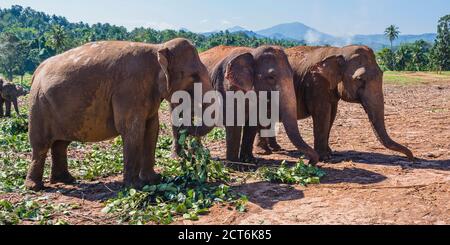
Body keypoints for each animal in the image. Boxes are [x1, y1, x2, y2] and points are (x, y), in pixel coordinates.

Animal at [25, 38, 211, 191]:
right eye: (194, 76)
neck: (157, 48)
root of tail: (36, 71)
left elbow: (152, 129)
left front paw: (155, 180)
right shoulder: (129, 88)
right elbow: (132, 130)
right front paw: (135, 186)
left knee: (60, 144)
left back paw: (66, 180)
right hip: (38, 105)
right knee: (41, 145)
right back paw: (35, 187)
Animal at [171, 45, 318, 165]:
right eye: (271, 77)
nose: (309, 162)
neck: (252, 52)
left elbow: (253, 122)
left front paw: (249, 161)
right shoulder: (226, 86)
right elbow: (234, 121)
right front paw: (235, 164)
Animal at [256, 45, 414, 163]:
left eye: (382, 74)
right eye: (360, 79)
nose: (411, 157)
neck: (338, 51)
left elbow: (332, 115)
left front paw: (329, 153)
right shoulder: (316, 83)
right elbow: (322, 113)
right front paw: (324, 157)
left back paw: (275, 148)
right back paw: (265, 151)